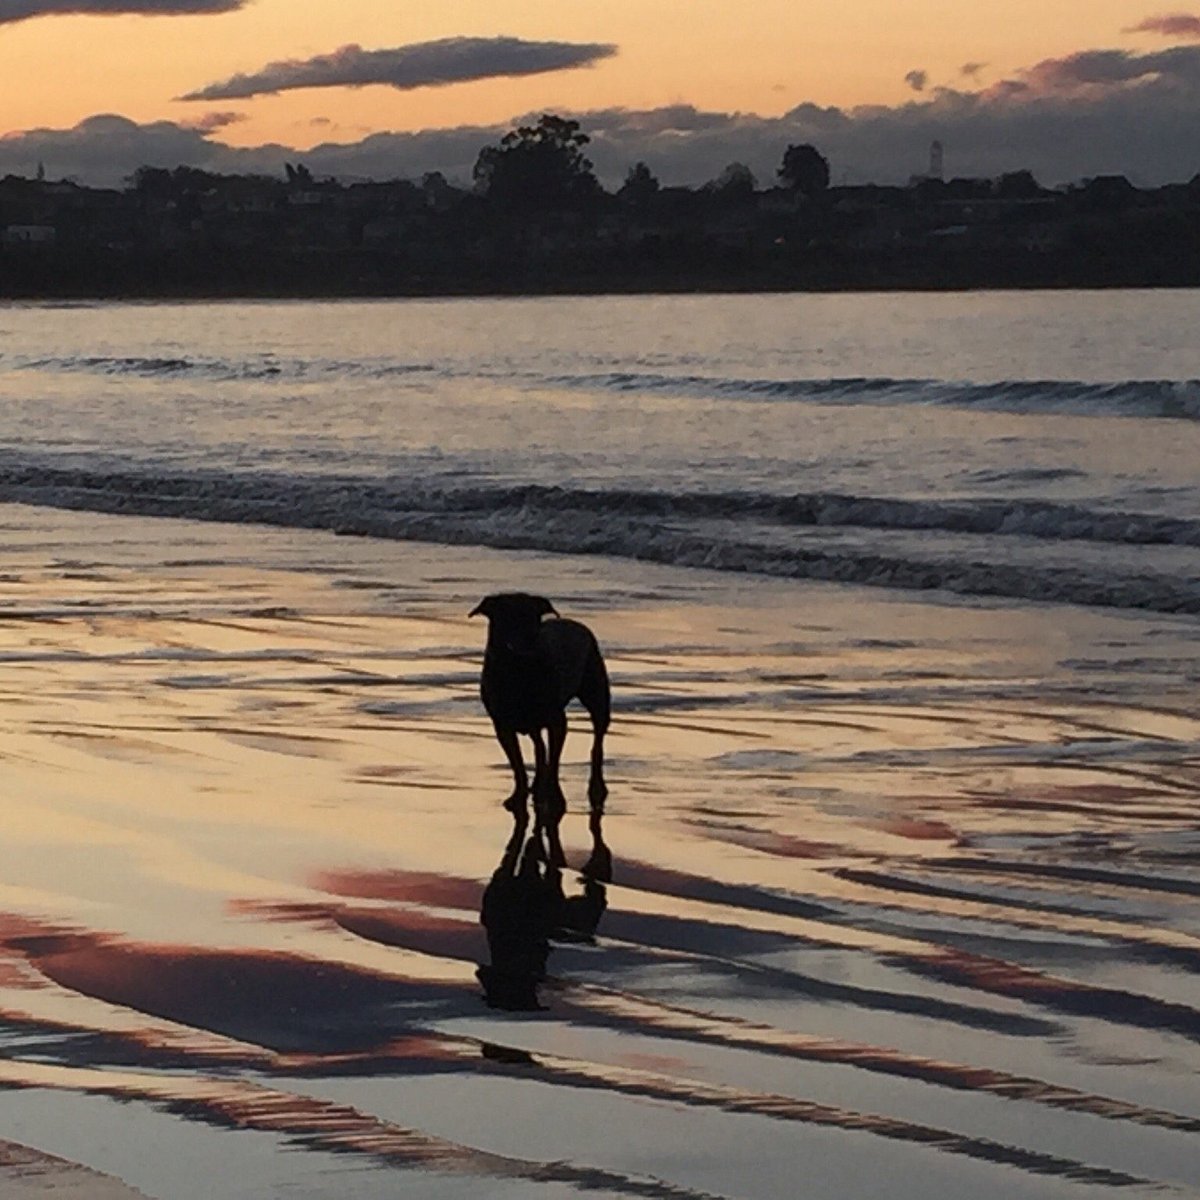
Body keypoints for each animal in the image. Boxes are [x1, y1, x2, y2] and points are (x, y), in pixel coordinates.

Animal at [468, 592, 609, 844]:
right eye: (507, 617)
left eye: (533, 619)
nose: (527, 643)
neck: (518, 670)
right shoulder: (502, 725)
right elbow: (518, 764)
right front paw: (519, 795)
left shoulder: (556, 721)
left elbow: (554, 758)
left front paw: (554, 798)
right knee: (538, 744)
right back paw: (536, 785)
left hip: (595, 679)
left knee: (597, 734)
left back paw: (595, 787)